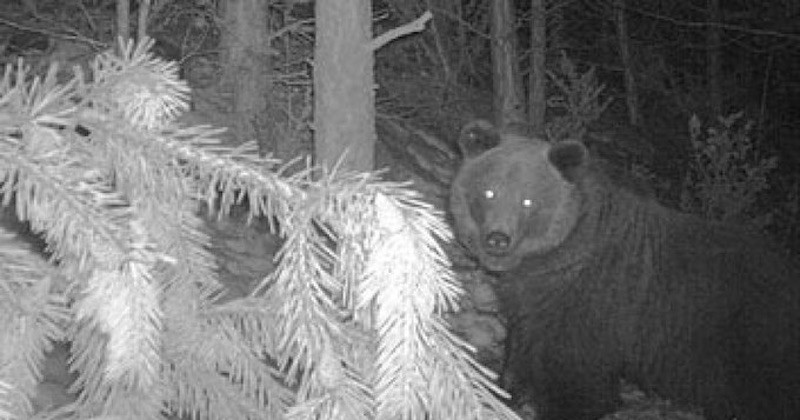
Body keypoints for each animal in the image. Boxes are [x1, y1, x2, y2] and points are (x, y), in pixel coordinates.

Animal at [450, 118, 800, 420]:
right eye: (489, 191)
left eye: (528, 201)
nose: (498, 239)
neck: (551, 262)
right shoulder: (534, 310)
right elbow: (521, 351)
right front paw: (506, 389)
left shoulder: (594, 307)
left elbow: (579, 385)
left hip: (755, 342)